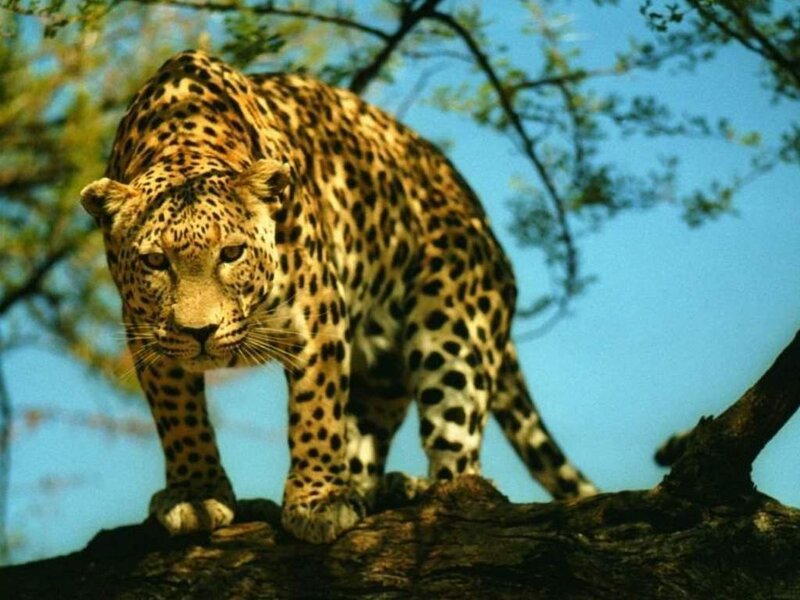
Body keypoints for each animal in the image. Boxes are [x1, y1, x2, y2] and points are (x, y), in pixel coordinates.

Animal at [80, 50, 597, 544]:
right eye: (154, 262)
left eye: (231, 253)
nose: (200, 331)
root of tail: (482, 222)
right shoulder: (148, 332)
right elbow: (180, 418)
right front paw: (197, 494)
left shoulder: (318, 317)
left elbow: (318, 409)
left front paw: (318, 502)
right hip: (385, 370)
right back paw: (373, 488)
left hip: (452, 330)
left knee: (462, 461)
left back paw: (421, 490)